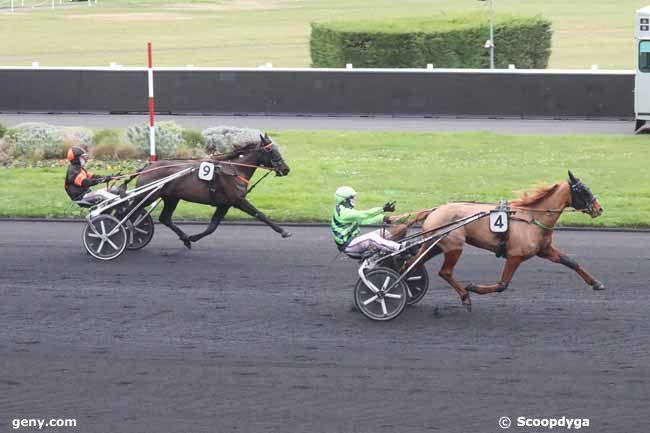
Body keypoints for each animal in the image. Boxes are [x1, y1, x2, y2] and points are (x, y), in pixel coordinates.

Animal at [133, 132, 290, 246]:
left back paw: (185, 238)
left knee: (164, 218)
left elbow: (211, 228)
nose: (285, 169)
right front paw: (283, 231)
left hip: (171, 198)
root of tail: (147, 167)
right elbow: (260, 214)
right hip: (147, 196)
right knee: (130, 210)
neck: (235, 170)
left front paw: (192, 238)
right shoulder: (238, 200)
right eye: (270, 150)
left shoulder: (224, 204)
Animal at [402, 170, 604, 308]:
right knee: (445, 272)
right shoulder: (515, 256)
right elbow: (502, 284)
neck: (532, 217)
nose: (599, 209)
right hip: (454, 246)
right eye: (584, 191)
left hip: (434, 245)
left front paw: (596, 283)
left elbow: (571, 262)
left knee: (410, 264)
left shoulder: (545, 250)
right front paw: (473, 287)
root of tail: (435, 210)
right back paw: (465, 296)